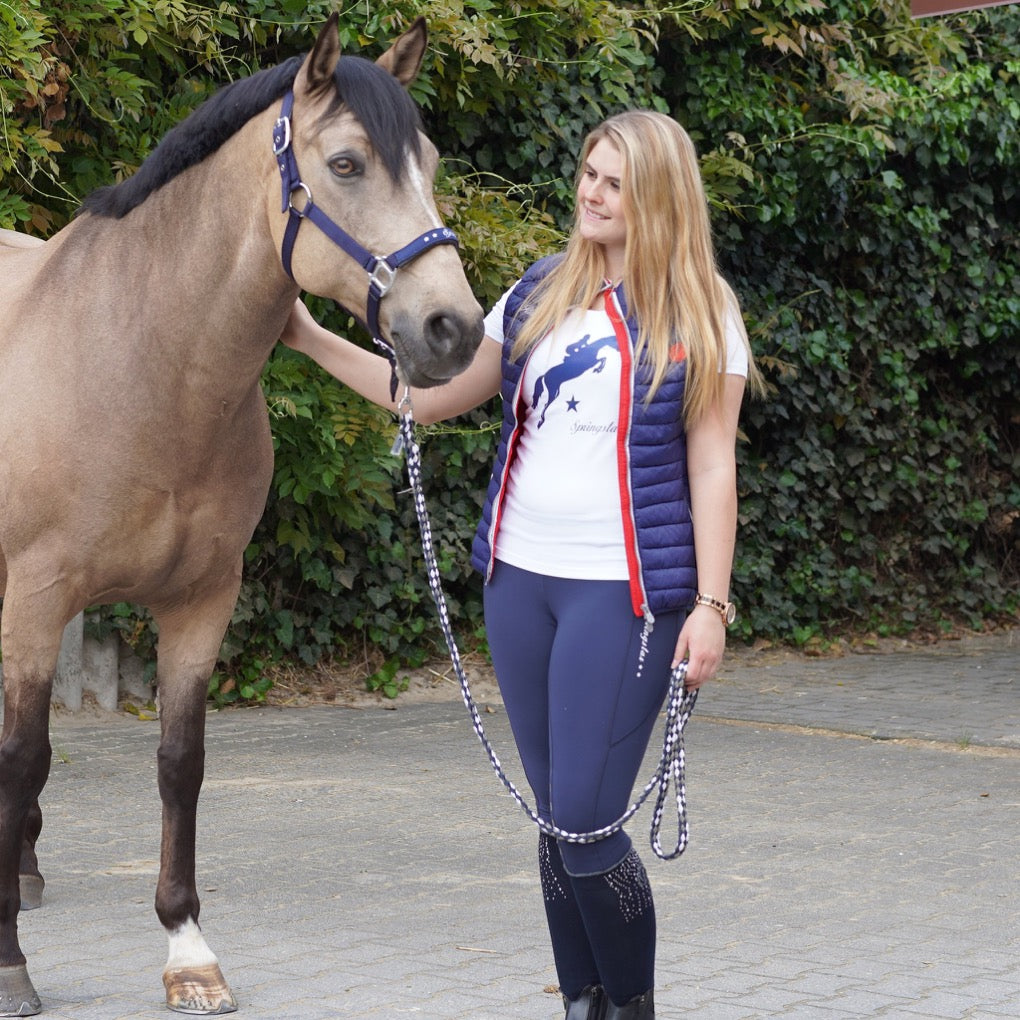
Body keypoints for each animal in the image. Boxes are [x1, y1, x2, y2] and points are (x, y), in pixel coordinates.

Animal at [0, 16, 483, 1016]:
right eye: (346, 163)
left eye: (428, 162)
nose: (453, 330)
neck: (138, 360)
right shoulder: (36, 594)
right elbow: (22, 753)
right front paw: (8, 961)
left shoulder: (202, 599)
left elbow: (180, 763)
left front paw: (188, 952)